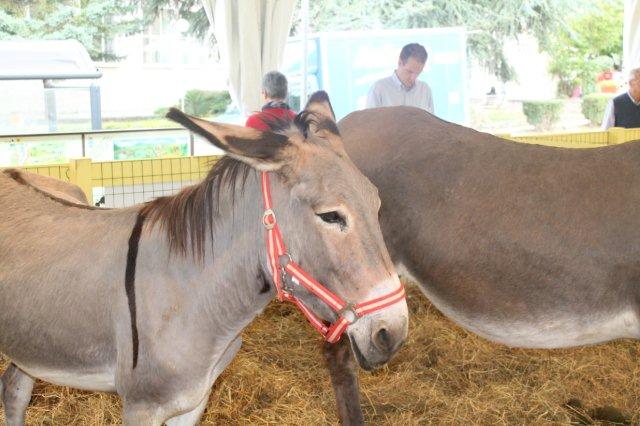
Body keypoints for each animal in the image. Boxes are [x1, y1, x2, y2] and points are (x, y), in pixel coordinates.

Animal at [0, 93, 408, 426]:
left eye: (377, 205)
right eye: (331, 216)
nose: (394, 333)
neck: (193, 292)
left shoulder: (193, 402)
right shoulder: (141, 407)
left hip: (31, 343)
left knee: (15, 389)